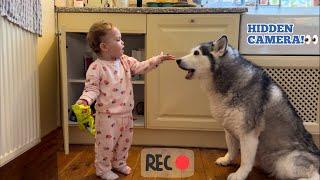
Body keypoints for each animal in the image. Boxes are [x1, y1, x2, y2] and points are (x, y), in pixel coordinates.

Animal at [176, 35, 318, 179]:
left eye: (196, 53)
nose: (177, 60)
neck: (228, 81)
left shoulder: (248, 135)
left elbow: (245, 160)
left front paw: (239, 175)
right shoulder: (229, 129)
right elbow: (232, 149)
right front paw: (227, 160)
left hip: (286, 164)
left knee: (313, 174)